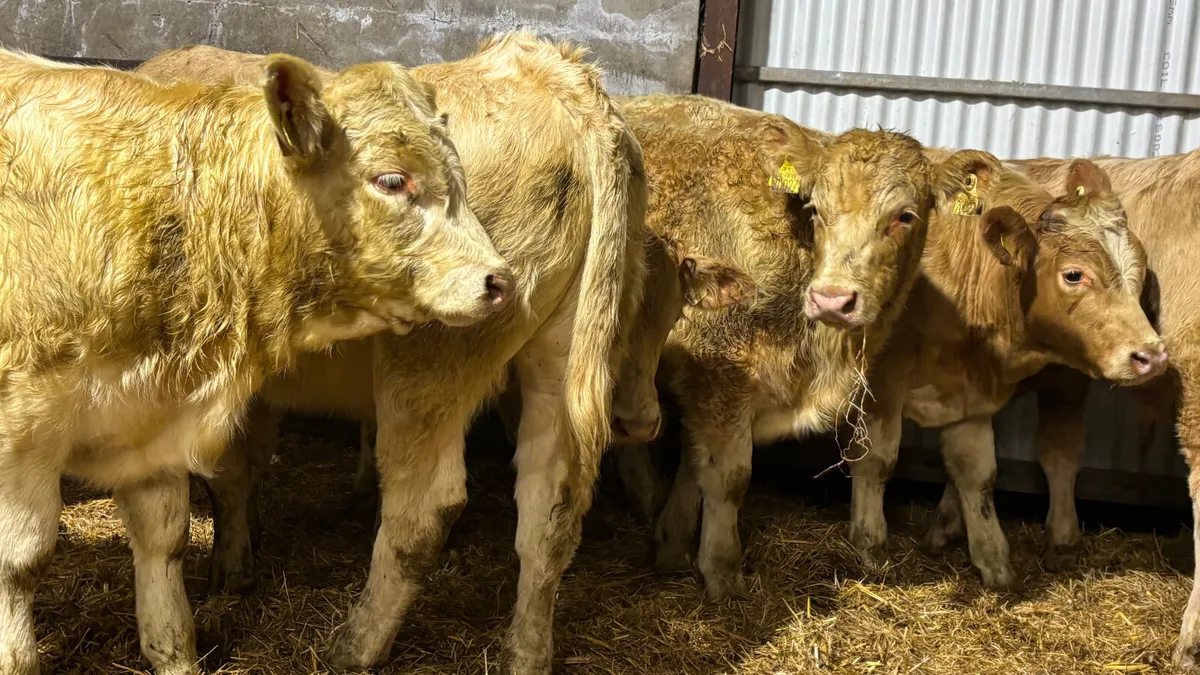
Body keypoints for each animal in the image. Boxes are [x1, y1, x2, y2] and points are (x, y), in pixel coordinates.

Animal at [0, 50, 507, 675]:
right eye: (392, 179)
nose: (499, 280)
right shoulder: (24, 433)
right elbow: (20, 560)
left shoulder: (147, 419)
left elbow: (164, 540)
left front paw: (175, 654)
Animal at [135, 32, 646, 674]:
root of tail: (552, 74)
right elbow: (241, 469)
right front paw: (236, 565)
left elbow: (222, 472)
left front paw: (227, 573)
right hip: (564, 358)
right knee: (551, 511)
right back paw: (525, 653)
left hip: (427, 364)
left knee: (423, 508)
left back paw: (353, 646)